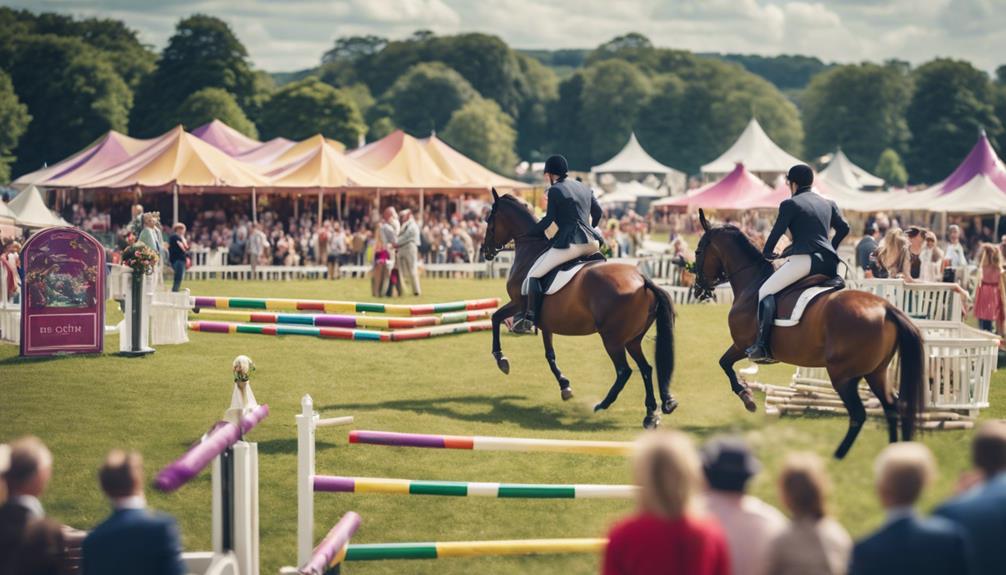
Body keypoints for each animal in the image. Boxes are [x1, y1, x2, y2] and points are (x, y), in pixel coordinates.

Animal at [482, 190, 680, 428]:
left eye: (490, 220)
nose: (485, 251)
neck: (531, 248)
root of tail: (642, 280)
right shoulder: (546, 322)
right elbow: (550, 355)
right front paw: (565, 386)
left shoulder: (518, 303)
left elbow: (495, 317)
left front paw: (501, 359)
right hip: (632, 339)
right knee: (646, 368)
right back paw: (650, 414)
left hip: (612, 339)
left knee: (624, 371)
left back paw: (602, 404)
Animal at [696, 210, 921, 458]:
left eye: (698, 252)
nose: (698, 288)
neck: (751, 284)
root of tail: (885, 308)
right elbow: (725, 364)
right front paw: (747, 396)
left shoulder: (742, 345)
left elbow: (724, 364)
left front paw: (747, 399)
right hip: (876, 372)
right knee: (892, 407)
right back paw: (895, 451)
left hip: (843, 375)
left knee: (859, 414)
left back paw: (838, 455)